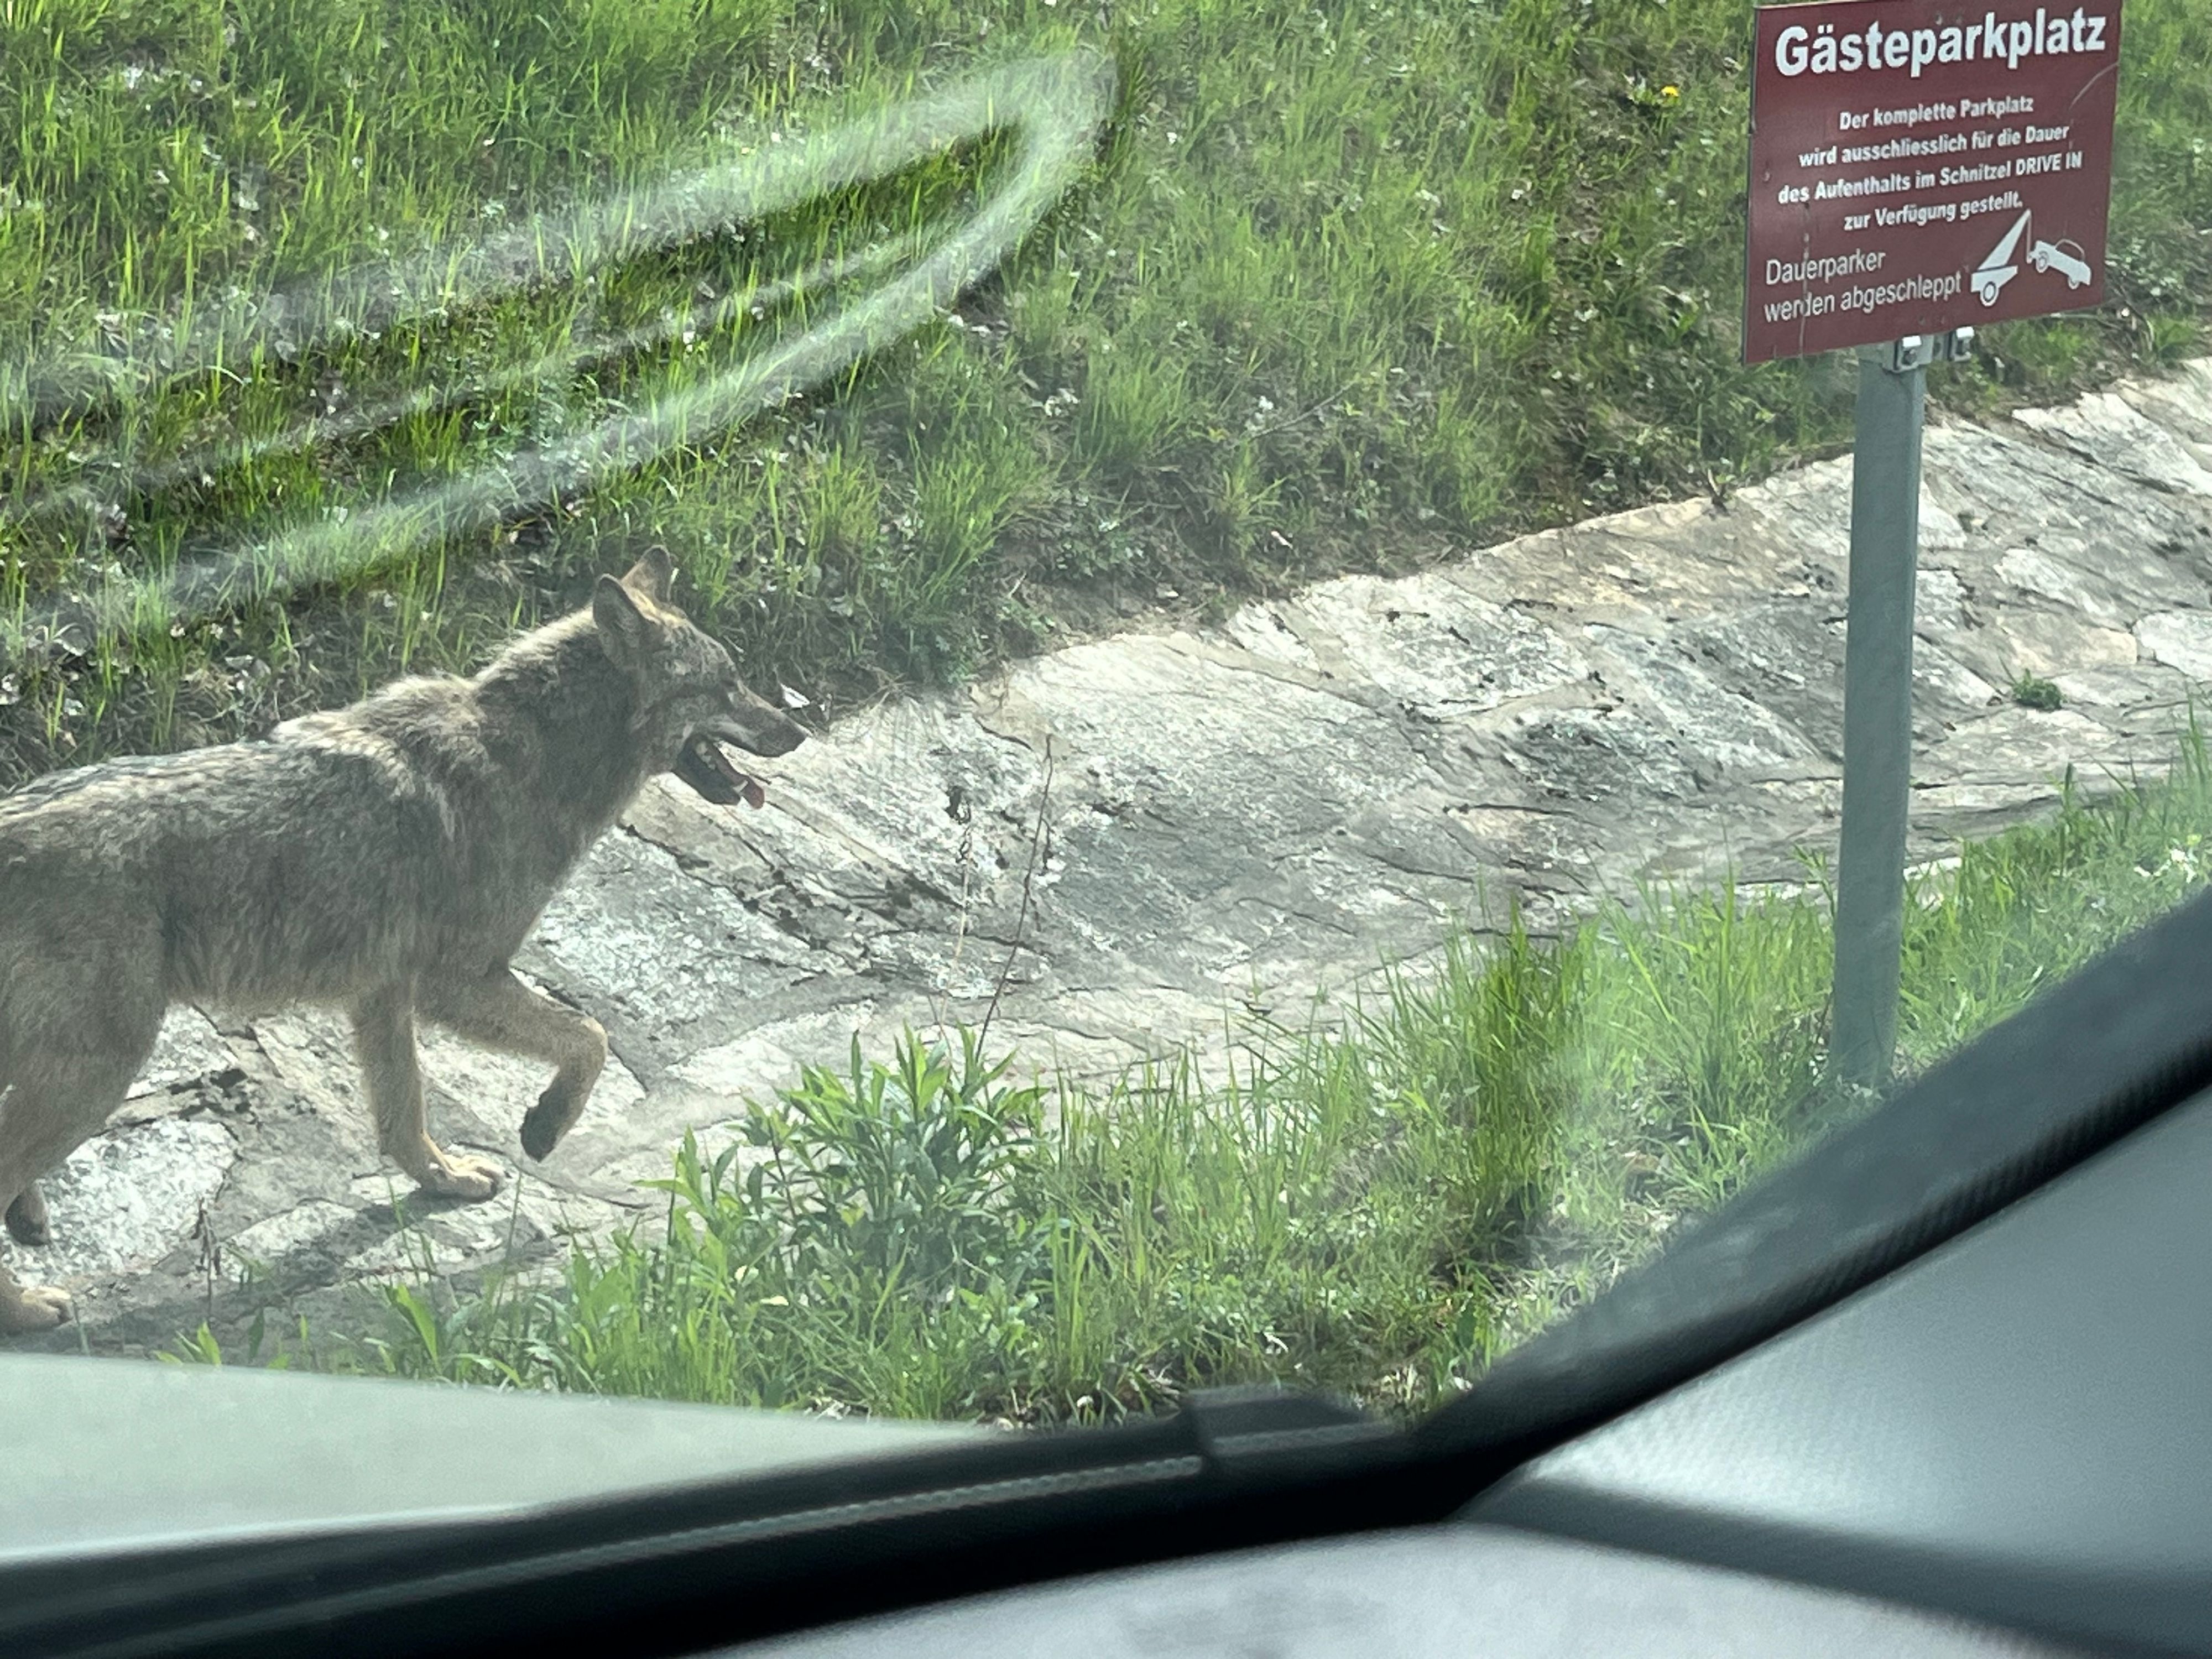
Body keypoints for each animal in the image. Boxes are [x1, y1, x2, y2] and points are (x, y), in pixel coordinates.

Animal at [0, 549, 805, 1332]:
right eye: (727, 684)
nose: (801, 727)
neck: (529, 754)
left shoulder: (384, 994)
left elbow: (405, 1117)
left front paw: (445, 1181)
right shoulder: (460, 982)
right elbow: (593, 1037)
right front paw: (544, 1127)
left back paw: (30, 1219)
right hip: (99, 1072)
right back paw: (27, 1305)